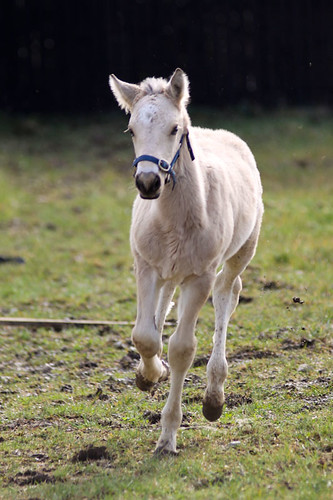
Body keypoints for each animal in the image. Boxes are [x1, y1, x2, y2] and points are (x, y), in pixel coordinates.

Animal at [109, 68, 262, 456]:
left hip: (242, 251)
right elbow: (145, 336)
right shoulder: (145, 266)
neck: (174, 218)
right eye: (130, 129)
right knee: (164, 302)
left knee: (227, 293)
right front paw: (149, 374)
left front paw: (167, 438)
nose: (148, 182)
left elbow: (182, 349)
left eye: (174, 129)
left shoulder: (199, 277)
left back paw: (214, 395)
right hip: (166, 269)